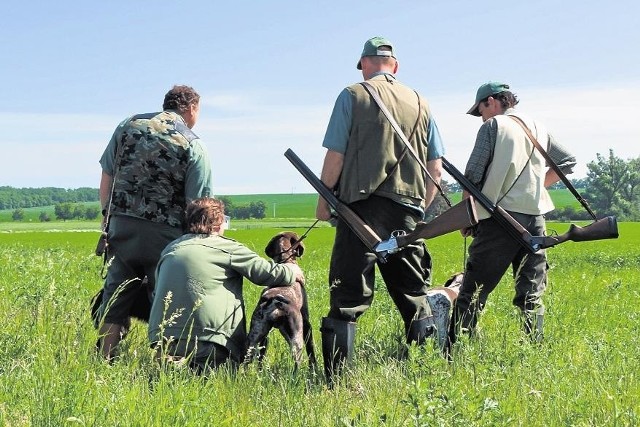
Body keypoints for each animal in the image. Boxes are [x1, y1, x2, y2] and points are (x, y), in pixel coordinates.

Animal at [244, 232, 316, 370]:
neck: (285, 260)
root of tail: (274, 301)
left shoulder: (264, 337)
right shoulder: (306, 323)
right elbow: (311, 351)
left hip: (255, 335)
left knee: (248, 358)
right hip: (296, 337)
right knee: (296, 362)